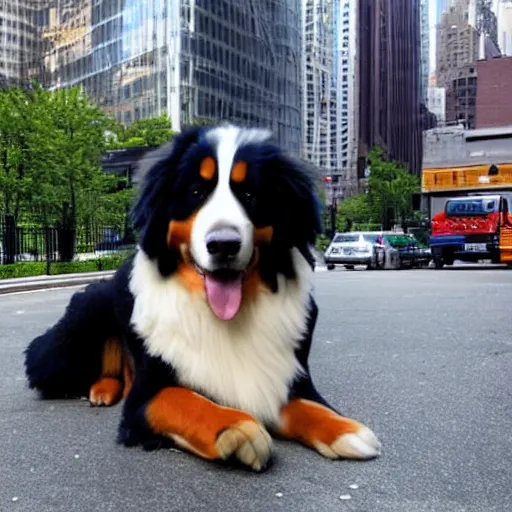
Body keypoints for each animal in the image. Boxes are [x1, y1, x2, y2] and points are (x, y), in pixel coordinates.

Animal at [24, 123, 380, 472]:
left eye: (249, 195)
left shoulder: (284, 376)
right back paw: (101, 389)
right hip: (85, 318)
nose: (223, 244)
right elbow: (184, 400)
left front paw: (344, 429)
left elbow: (307, 405)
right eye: (196, 192)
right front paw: (236, 427)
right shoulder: (147, 396)